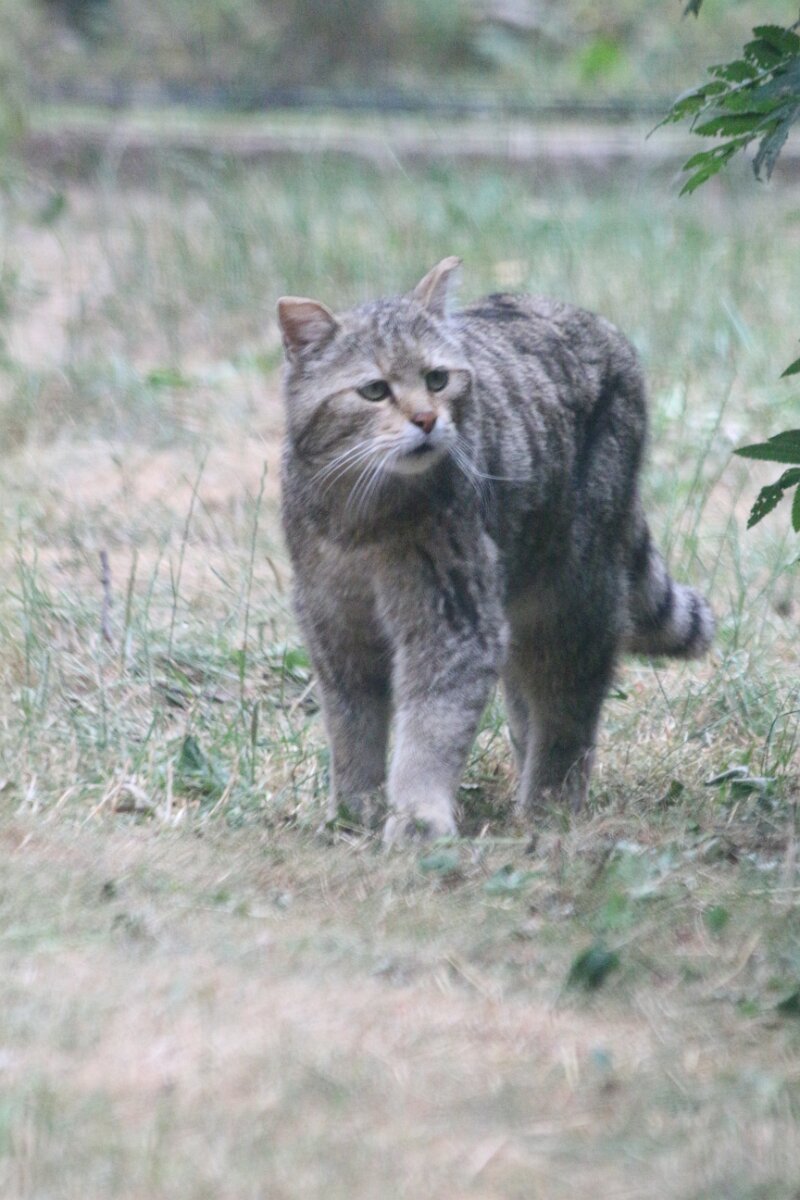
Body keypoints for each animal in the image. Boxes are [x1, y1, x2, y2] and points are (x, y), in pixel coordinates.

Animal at [277, 258, 713, 841]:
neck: (361, 516)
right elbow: (352, 730)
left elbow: (430, 729)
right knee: (528, 704)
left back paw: (550, 800)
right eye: (374, 390)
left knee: (567, 710)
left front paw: (417, 816)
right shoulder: (333, 626)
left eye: (437, 379)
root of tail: (599, 324)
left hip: (575, 598)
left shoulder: (453, 622)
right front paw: (355, 810)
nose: (426, 420)